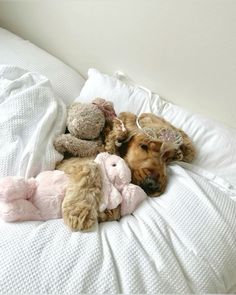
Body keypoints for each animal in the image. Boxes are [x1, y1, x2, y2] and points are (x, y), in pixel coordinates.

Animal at [57, 112, 195, 232]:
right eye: (143, 146)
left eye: (167, 157)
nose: (154, 185)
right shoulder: (66, 163)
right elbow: (90, 168)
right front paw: (79, 212)